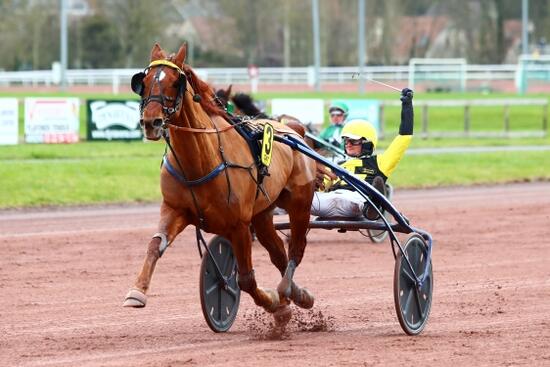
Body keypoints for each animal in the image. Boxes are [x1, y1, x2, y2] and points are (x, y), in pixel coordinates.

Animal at [123, 43, 316, 328]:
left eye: (175, 82)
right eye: (143, 82)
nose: (151, 122)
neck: (200, 161)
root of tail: (294, 130)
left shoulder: (239, 225)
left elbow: (245, 279)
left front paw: (274, 304)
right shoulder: (175, 209)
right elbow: (154, 246)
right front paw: (136, 292)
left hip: (299, 204)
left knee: (296, 250)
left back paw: (292, 293)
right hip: (262, 215)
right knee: (279, 254)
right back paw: (293, 293)